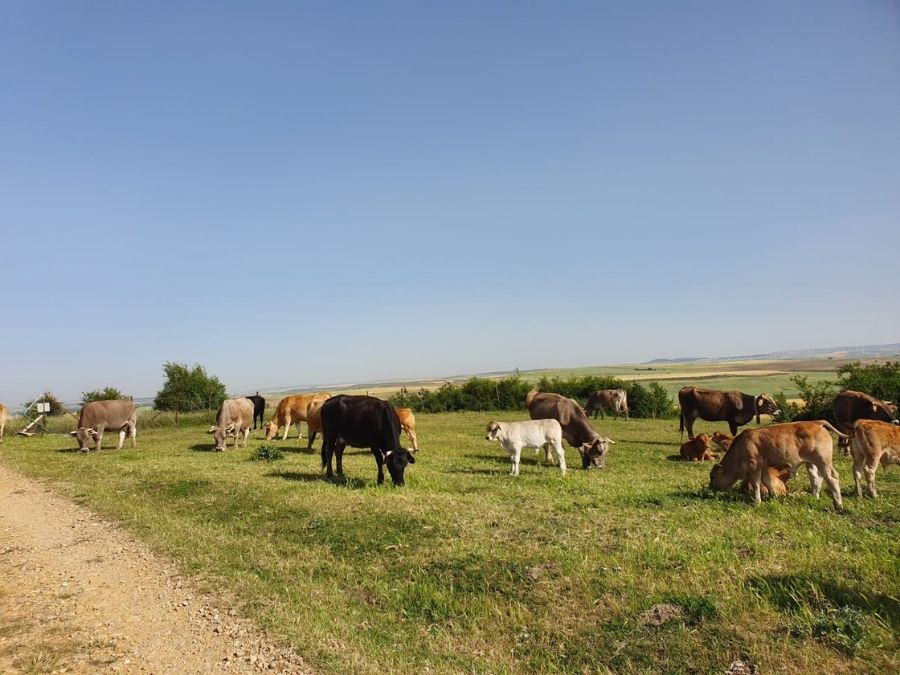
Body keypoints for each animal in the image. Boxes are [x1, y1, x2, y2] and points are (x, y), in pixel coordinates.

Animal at [708, 420, 848, 510]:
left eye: (713, 476)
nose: (710, 488)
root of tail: (815, 424)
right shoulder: (764, 468)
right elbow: (768, 481)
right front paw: (774, 497)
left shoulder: (754, 467)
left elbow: (756, 484)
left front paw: (757, 501)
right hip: (810, 463)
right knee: (815, 479)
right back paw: (814, 498)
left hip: (823, 461)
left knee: (832, 478)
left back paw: (838, 505)